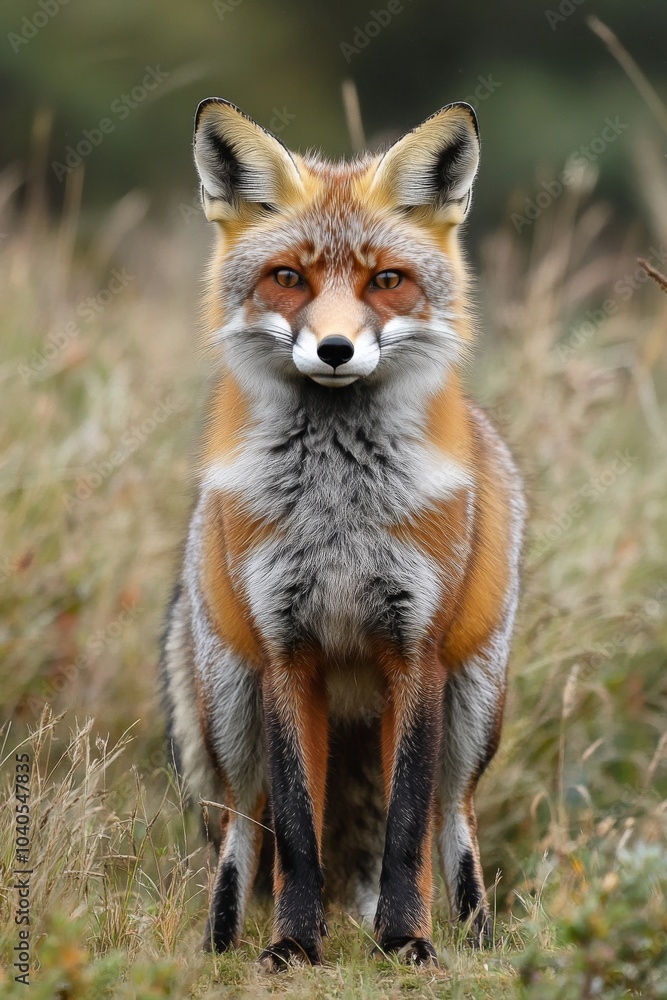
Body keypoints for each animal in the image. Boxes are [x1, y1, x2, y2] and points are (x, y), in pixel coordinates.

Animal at [160, 96, 526, 970]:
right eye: (288, 277)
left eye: (384, 281)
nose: (333, 349)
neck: (338, 516)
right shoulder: (284, 652)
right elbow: (298, 828)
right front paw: (294, 945)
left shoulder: (415, 653)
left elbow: (403, 825)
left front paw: (405, 940)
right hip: (229, 710)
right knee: (243, 828)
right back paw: (220, 941)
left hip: (474, 707)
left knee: (451, 817)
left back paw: (475, 937)